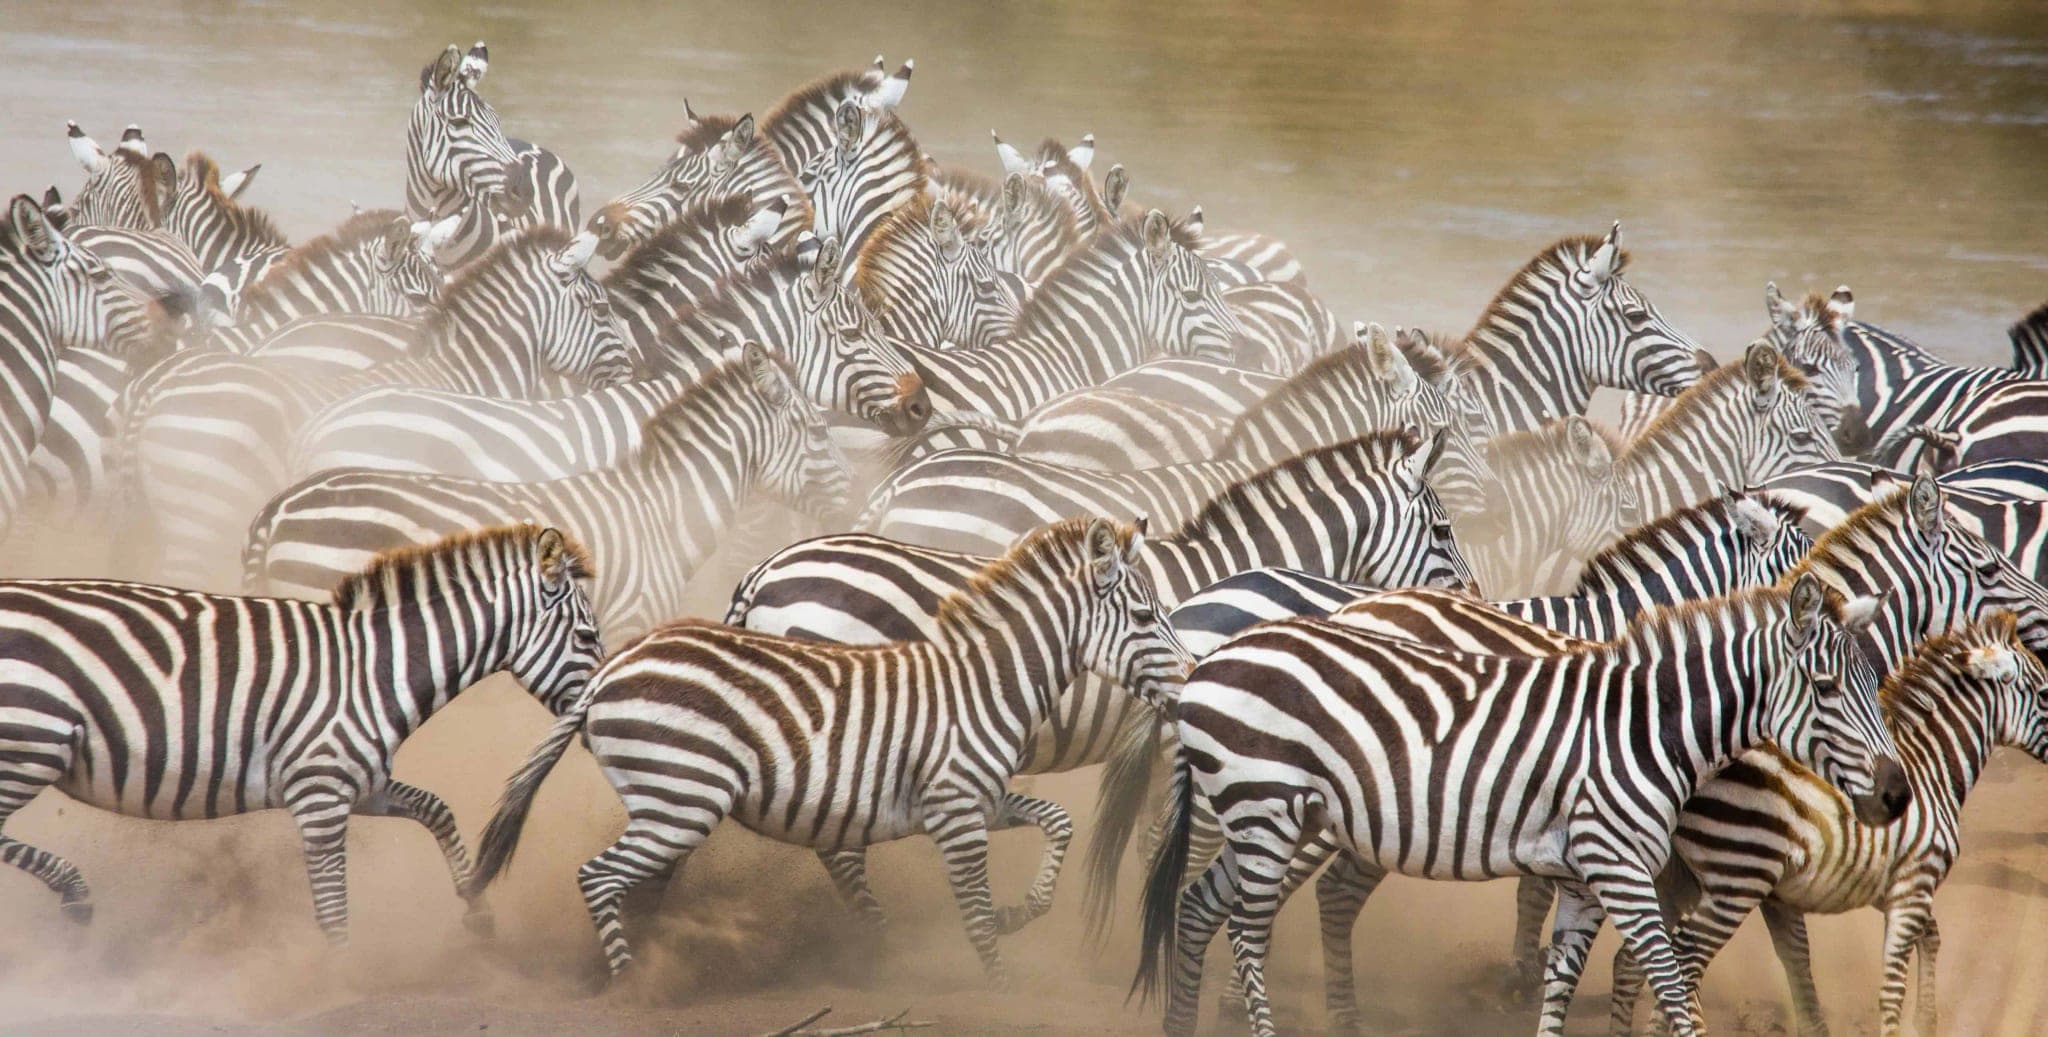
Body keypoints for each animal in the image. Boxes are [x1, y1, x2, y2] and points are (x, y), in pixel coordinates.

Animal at [0, 523, 602, 943]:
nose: (596, 715)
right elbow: (334, 911)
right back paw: (75, 893)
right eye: (588, 636)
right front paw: (339, 980)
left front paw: (476, 908)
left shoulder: (358, 783)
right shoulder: (321, 796)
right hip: (30, 743)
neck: (373, 670)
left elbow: (437, 809)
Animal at [468, 517, 1190, 982]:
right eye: (1147, 616)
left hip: (670, 799)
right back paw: (631, 983)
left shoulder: (971, 799)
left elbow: (1058, 824)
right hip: (683, 802)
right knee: (602, 876)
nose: (1192, 676)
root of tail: (603, 678)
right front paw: (998, 988)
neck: (983, 680)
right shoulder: (957, 811)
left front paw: (1023, 909)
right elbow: (977, 918)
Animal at [1127, 575, 1905, 1037]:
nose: (1895, 794)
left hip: (1267, 817)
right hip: (1265, 810)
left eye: (1877, 683)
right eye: (1829, 688)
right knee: (1246, 929)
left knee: (1198, 906)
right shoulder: (1620, 869)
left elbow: (1563, 983)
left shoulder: (1582, 881)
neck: (1644, 730)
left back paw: (1179, 1024)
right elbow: (1671, 983)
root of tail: (1209, 663)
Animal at [1607, 611, 2048, 1037]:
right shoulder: (1915, 882)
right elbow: (1892, 986)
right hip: (1738, 877)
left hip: (1681, 879)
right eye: (2045, 694)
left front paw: (1926, 1019)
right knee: (1681, 959)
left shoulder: (1894, 888)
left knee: (1636, 958)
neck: (1931, 763)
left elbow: (1932, 937)